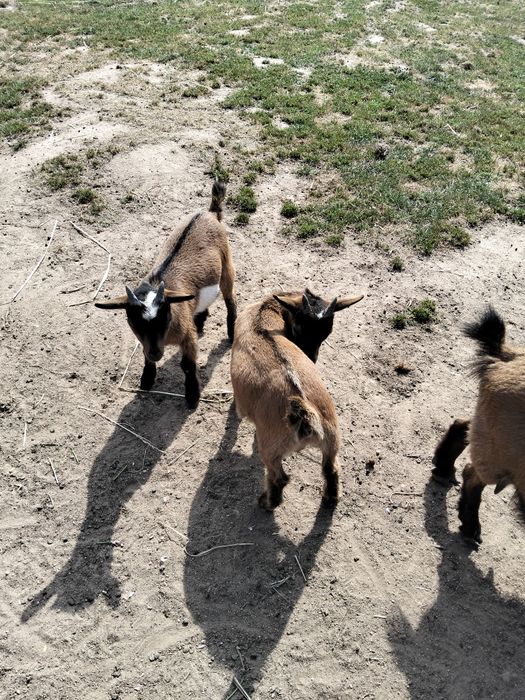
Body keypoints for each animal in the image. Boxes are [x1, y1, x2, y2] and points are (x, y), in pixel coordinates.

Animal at [95, 180, 236, 408]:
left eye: (165, 317)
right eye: (134, 322)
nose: (156, 352)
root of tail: (209, 213)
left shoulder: (187, 337)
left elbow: (188, 365)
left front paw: (192, 396)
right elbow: (144, 354)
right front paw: (146, 379)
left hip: (227, 266)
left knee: (230, 298)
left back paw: (231, 332)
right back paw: (200, 320)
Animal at [230, 288, 363, 510]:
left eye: (326, 334)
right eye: (299, 329)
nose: (311, 358)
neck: (264, 312)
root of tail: (306, 415)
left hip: (270, 450)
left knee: (279, 478)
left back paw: (266, 502)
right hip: (332, 440)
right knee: (331, 469)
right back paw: (330, 498)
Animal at [432, 306, 525, 543]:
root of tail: (507, 356)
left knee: (464, 425)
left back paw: (443, 466)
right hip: (499, 453)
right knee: (472, 474)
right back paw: (470, 525)